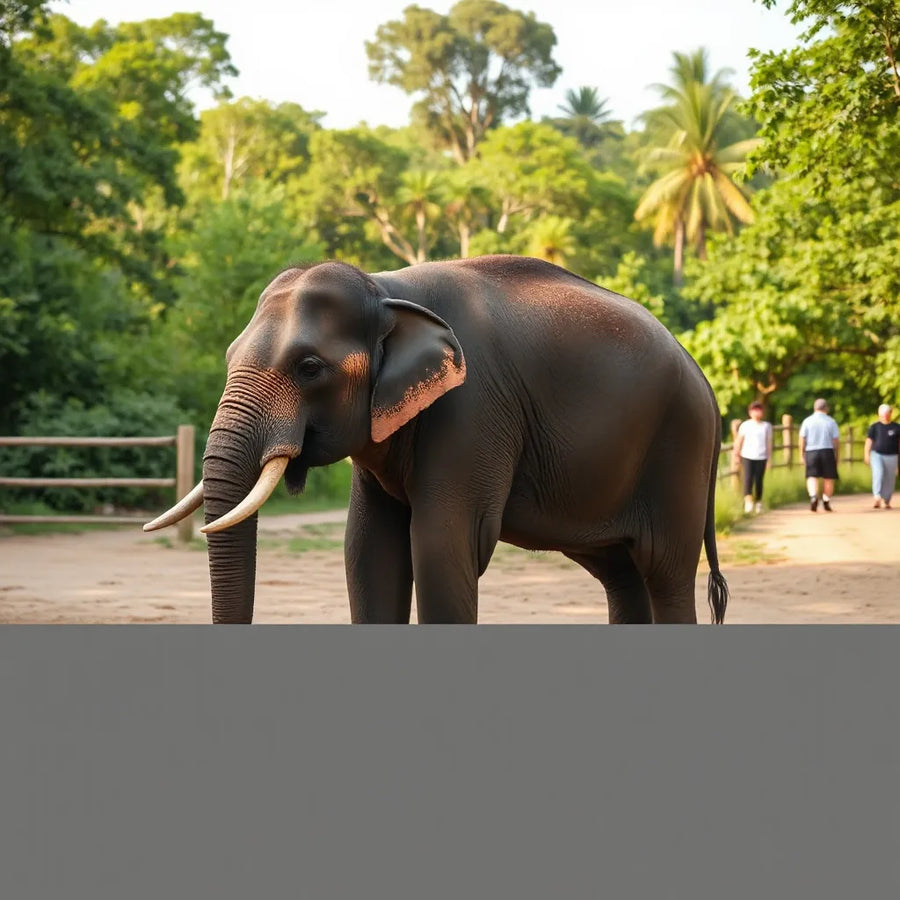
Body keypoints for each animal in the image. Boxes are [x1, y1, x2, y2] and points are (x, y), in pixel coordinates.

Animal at [145, 254, 729, 625]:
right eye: (227, 356)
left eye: (309, 367)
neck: (385, 289)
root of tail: (705, 380)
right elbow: (368, 549)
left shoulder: (472, 409)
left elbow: (441, 544)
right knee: (620, 574)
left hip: (678, 449)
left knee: (664, 571)